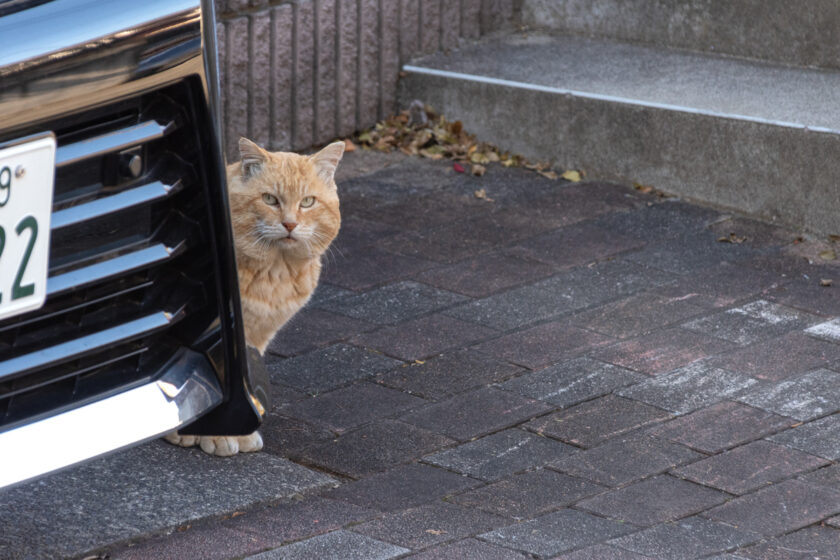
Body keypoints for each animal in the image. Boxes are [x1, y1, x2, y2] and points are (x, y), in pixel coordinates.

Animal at [166, 137, 342, 456]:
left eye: (307, 202)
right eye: (270, 199)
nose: (290, 224)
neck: (274, 273)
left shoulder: (255, 337)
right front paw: (207, 433)